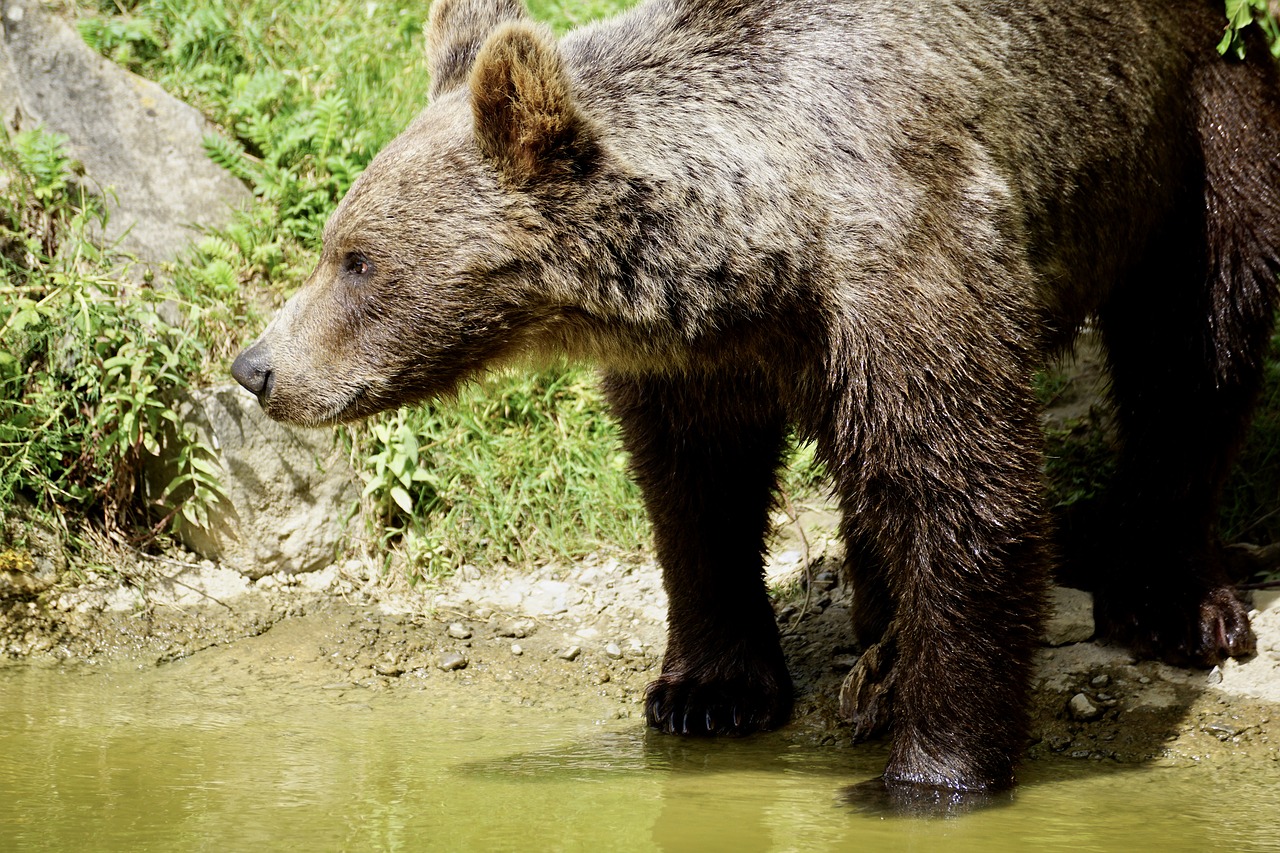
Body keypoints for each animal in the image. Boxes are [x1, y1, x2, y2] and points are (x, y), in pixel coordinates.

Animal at [232, 0, 1280, 799]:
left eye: (358, 260)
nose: (257, 366)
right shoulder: (704, 361)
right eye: (337, 242)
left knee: (1204, 329)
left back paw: (1172, 599)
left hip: (1191, 101)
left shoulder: (909, 265)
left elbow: (967, 493)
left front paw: (934, 767)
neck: (765, 252)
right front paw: (706, 689)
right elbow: (696, 494)